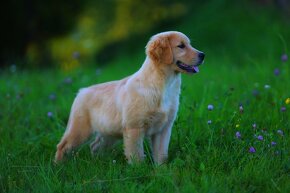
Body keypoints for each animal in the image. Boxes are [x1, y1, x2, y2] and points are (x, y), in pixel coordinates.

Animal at [54, 31, 204, 164]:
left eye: (189, 44)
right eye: (181, 46)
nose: (203, 55)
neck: (163, 85)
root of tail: (82, 91)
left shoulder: (163, 128)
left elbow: (161, 155)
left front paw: (161, 171)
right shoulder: (134, 128)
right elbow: (136, 155)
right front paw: (139, 171)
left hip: (108, 132)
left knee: (95, 146)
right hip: (79, 129)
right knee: (62, 146)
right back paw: (58, 166)